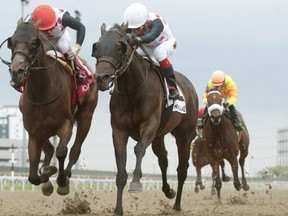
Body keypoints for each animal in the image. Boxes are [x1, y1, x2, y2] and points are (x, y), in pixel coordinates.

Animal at [6, 19, 98, 196]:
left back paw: (65, 175)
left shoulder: (66, 124)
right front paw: (47, 176)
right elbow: (33, 176)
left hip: (86, 117)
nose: (16, 72)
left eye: (35, 43)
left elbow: (61, 150)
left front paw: (60, 180)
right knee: (48, 149)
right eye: (11, 42)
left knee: (75, 150)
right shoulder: (33, 132)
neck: (42, 92)